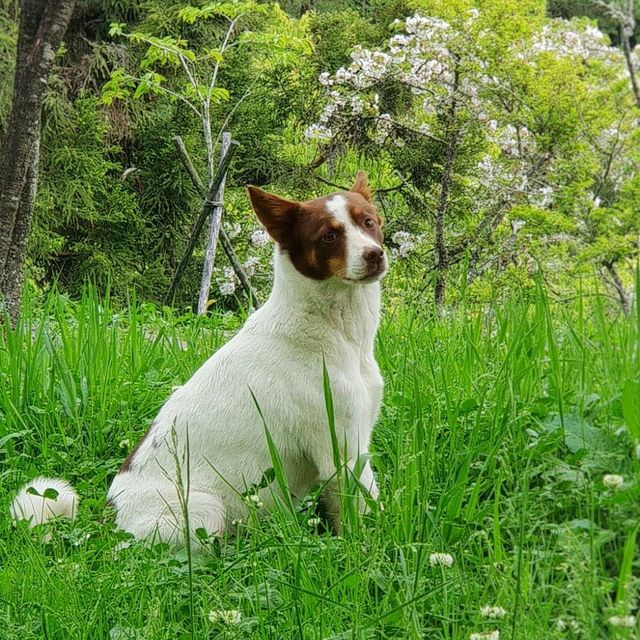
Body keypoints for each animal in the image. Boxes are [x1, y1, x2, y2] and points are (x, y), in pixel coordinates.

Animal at [10, 172, 388, 548]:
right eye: (329, 236)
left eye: (369, 222)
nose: (376, 255)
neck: (332, 331)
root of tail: (108, 522)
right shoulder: (341, 451)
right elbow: (365, 512)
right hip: (205, 511)